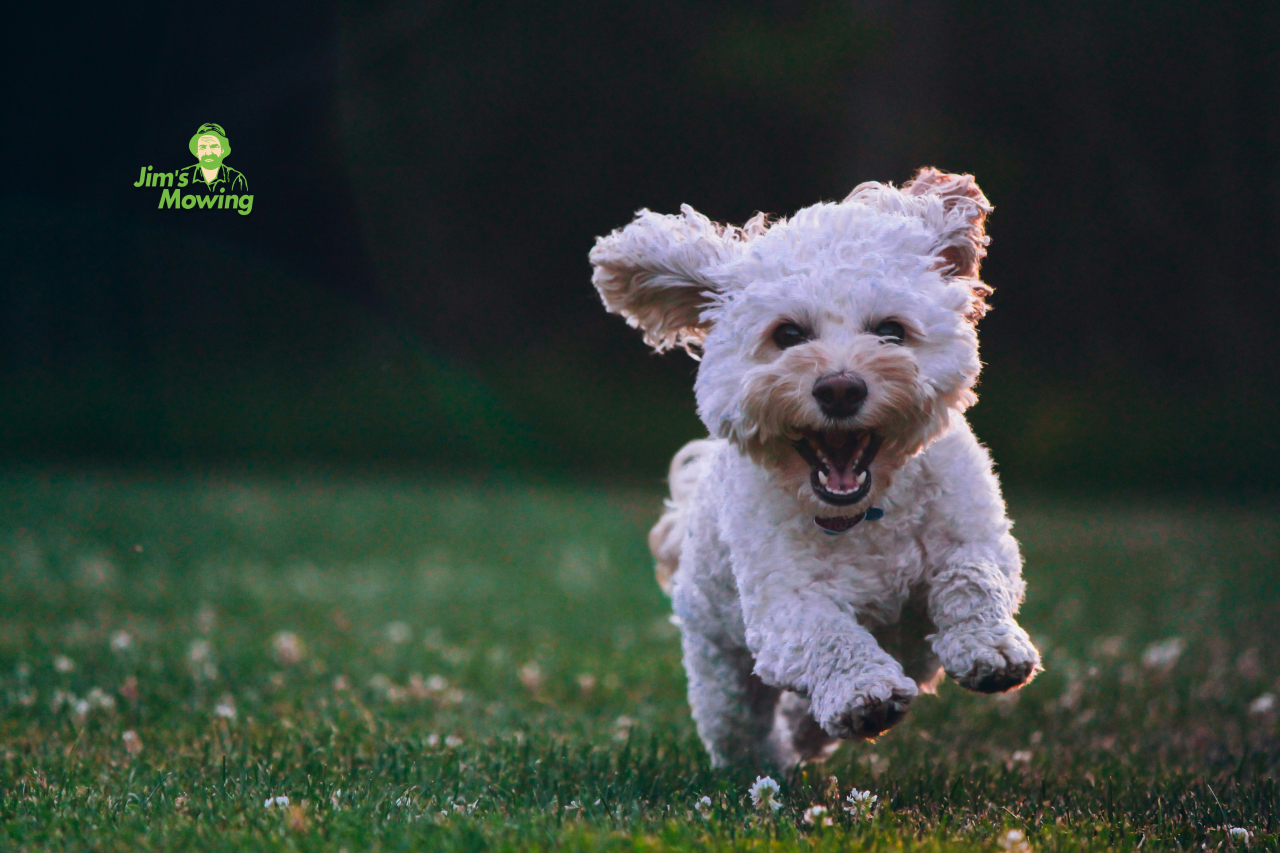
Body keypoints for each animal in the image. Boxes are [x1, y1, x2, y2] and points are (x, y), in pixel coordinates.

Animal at [588, 169, 1039, 768]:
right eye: (787, 335)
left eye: (890, 331)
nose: (840, 388)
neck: (866, 513)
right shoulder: (784, 605)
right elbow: (828, 635)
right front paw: (863, 692)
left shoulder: (977, 534)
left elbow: (973, 576)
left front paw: (990, 647)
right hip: (718, 662)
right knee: (738, 724)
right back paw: (770, 760)